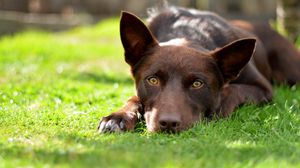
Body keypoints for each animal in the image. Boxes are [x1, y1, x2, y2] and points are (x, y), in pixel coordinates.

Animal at [98, 5, 300, 133]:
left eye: (197, 84)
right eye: (152, 80)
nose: (168, 123)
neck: (188, 33)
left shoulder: (264, 89)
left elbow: (233, 90)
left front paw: (219, 105)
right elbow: (133, 98)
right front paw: (118, 117)